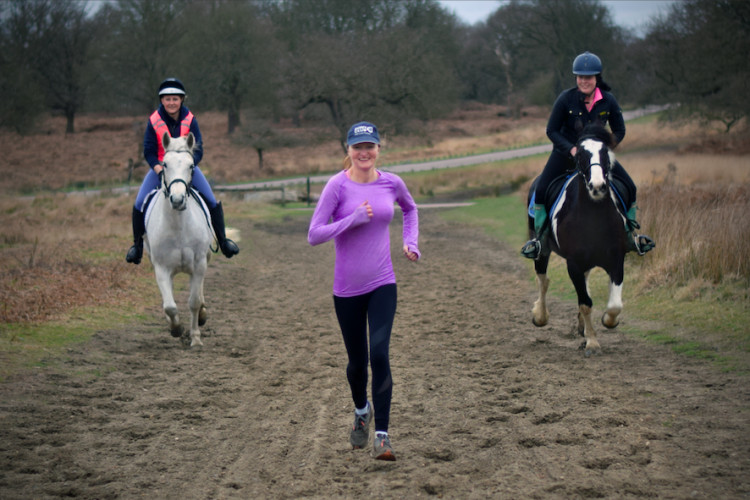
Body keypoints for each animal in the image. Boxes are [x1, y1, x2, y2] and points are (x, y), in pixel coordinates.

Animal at [145, 133, 213, 348]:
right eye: (165, 164)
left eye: (191, 166)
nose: (177, 199)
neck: (178, 226)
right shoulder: (161, 268)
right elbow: (170, 305)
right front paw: (176, 328)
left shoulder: (199, 264)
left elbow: (194, 302)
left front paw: (195, 338)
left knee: (199, 292)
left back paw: (202, 314)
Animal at [528, 125, 636, 356]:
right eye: (580, 155)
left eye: (605, 153)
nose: (597, 186)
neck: (592, 214)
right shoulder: (574, 264)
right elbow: (585, 302)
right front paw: (593, 343)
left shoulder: (616, 260)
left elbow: (614, 304)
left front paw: (607, 321)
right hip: (542, 250)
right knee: (543, 280)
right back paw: (540, 316)